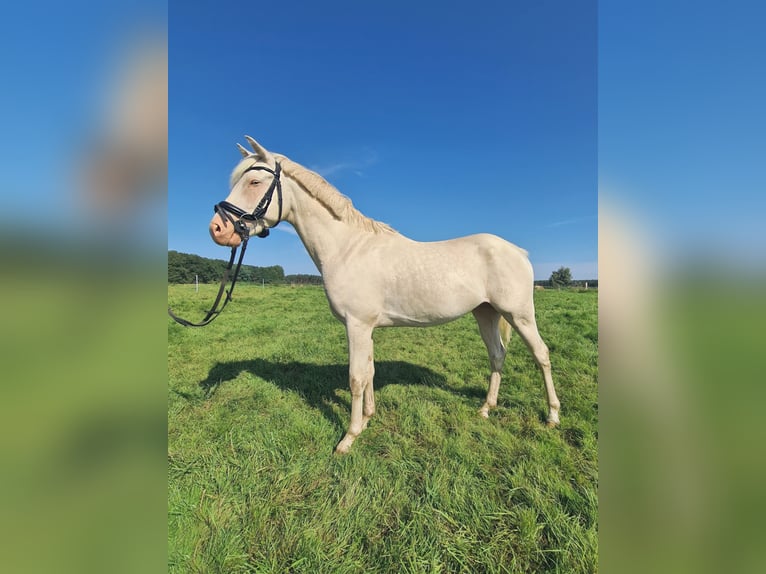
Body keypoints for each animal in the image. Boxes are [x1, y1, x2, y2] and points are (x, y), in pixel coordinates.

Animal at [207, 136, 560, 454]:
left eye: (254, 181)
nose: (218, 229)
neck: (347, 248)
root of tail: (517, 251)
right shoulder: (366, 328)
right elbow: (369, 371)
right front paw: (367, 419)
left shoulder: (357, 325)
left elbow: (355, 378)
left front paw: (348, 438)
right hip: (486, 312)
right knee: (497, 355)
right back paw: (486, 408)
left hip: (519, 314)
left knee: (541, 355)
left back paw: (552, 416)